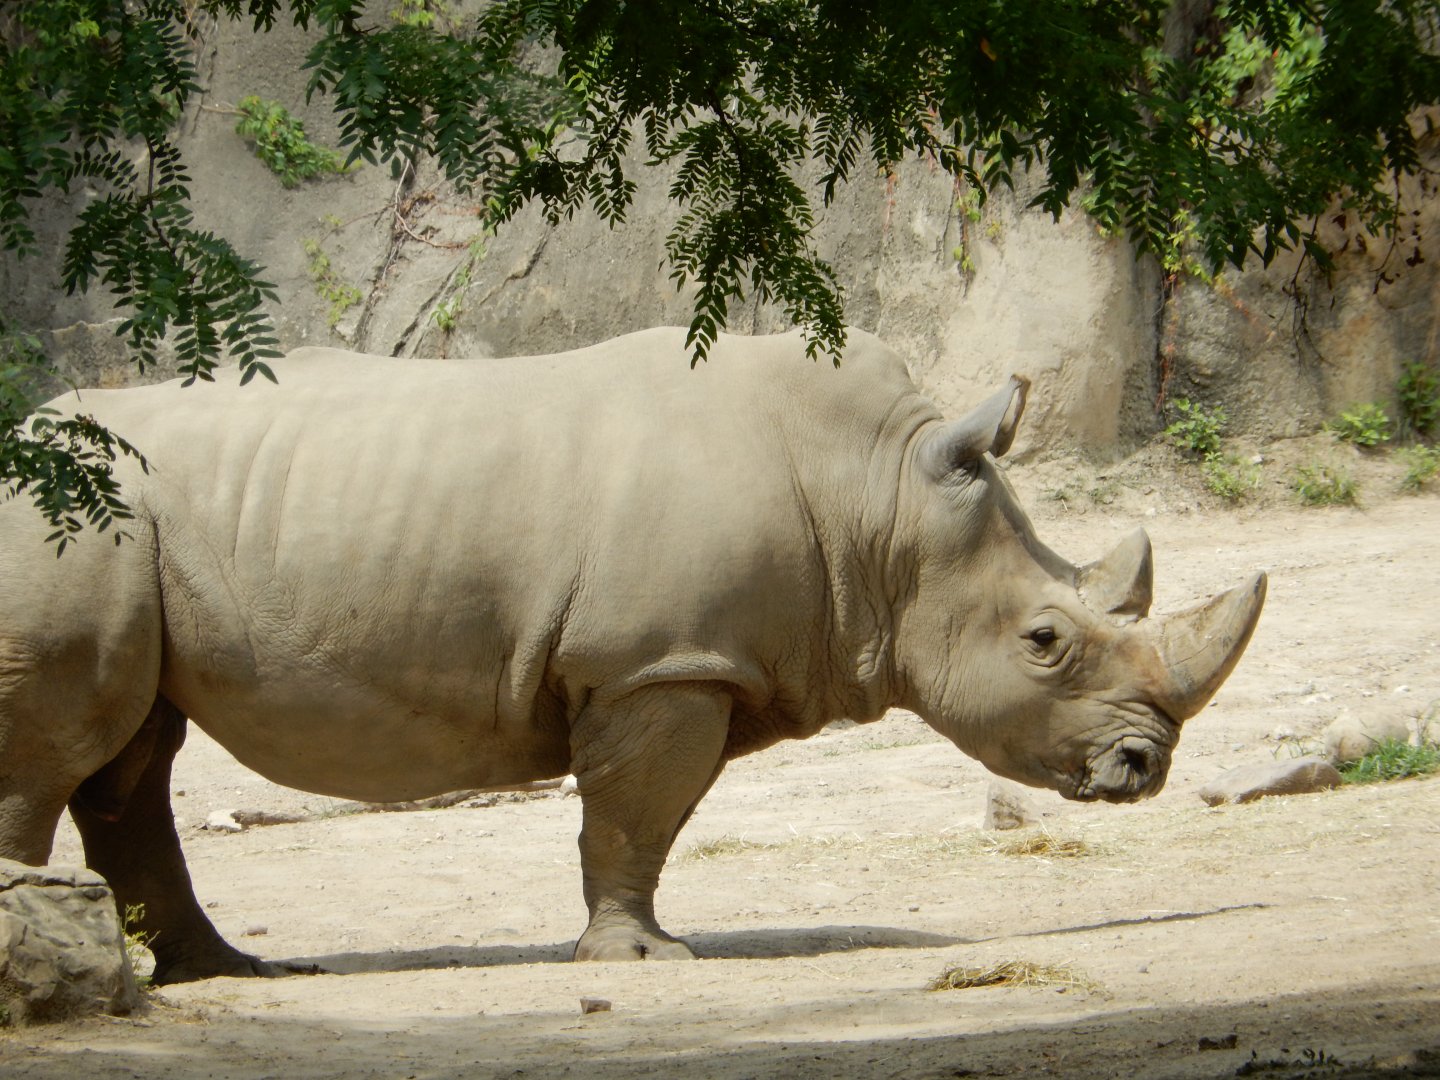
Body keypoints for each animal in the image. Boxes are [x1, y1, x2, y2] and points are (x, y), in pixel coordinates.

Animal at [0, 327, 1265, 982]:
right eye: (1045, 642)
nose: (1143, 769)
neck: (881, 508)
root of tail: (23, 440)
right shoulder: (658, 662)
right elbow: (633, 813)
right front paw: (641, 961)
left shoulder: (692, 664)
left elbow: (647, 819)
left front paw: (639, 944)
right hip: (68, 523)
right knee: (63, 748)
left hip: (131, 531)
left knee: (131, 756)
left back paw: (221, 974)